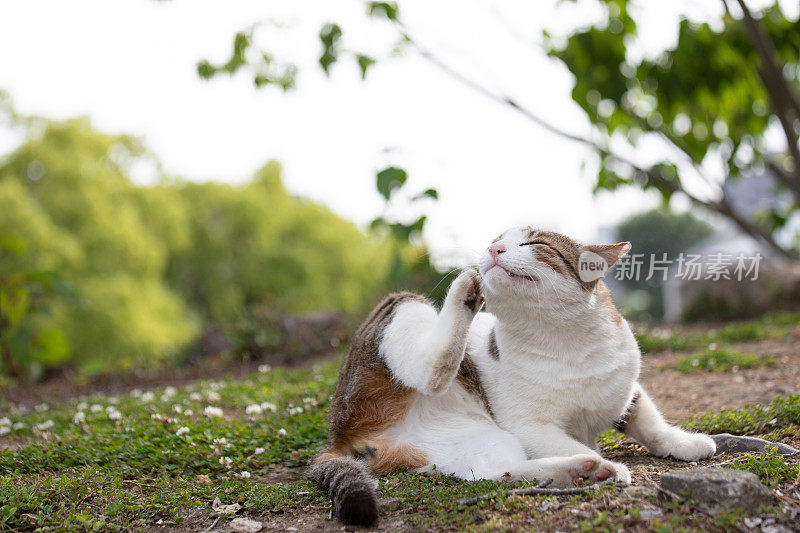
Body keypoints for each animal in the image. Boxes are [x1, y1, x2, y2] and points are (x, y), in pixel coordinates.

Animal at [310, 227, 716, 524]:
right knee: (430, 370)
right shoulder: (530, 427)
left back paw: (577, 472)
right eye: (496, 241)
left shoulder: (626, 388)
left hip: (474, 440)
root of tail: (339, 438)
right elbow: (571, 440)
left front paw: (683, 442)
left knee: (498, 473)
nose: (494, 250)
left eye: (534, 243)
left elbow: (649, 421)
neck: (568, 344)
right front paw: (609, 464)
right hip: (398, 313)